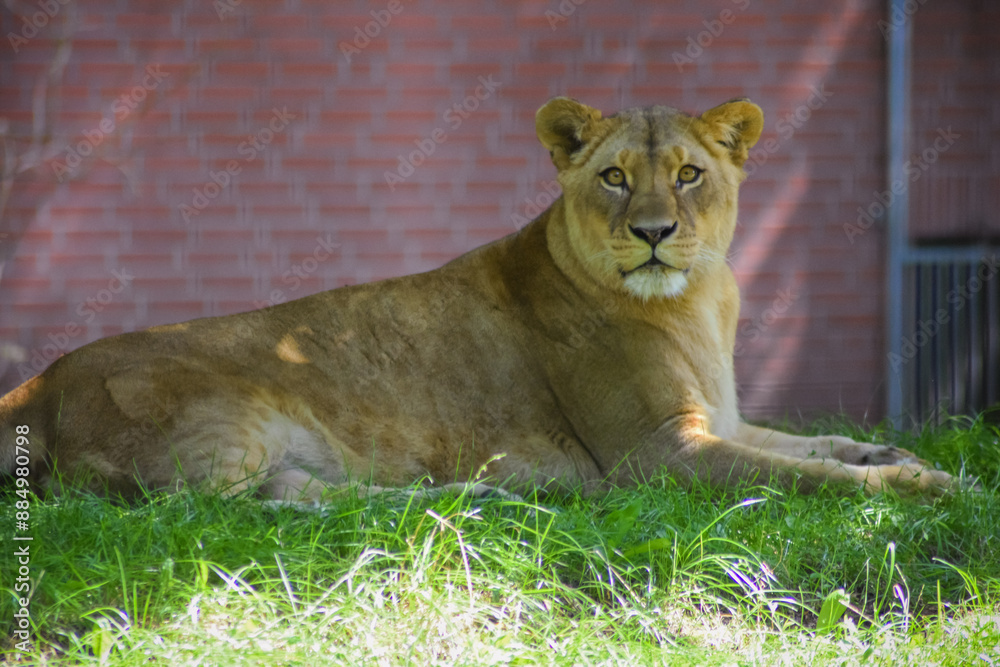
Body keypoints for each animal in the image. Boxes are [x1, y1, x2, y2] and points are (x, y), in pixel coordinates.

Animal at [0, 97, 957, 502]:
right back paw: (482, 497)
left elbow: (814, 443)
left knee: (297, 500)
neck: (695, 300)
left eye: (689, 174)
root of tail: (34, 389)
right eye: (614, 178)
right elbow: (802, 474)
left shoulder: (718, 420)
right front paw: (921, 488)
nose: (653, 231)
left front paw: (902, 456)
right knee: (224, 510)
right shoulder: (661, 452)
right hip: (236, 418)